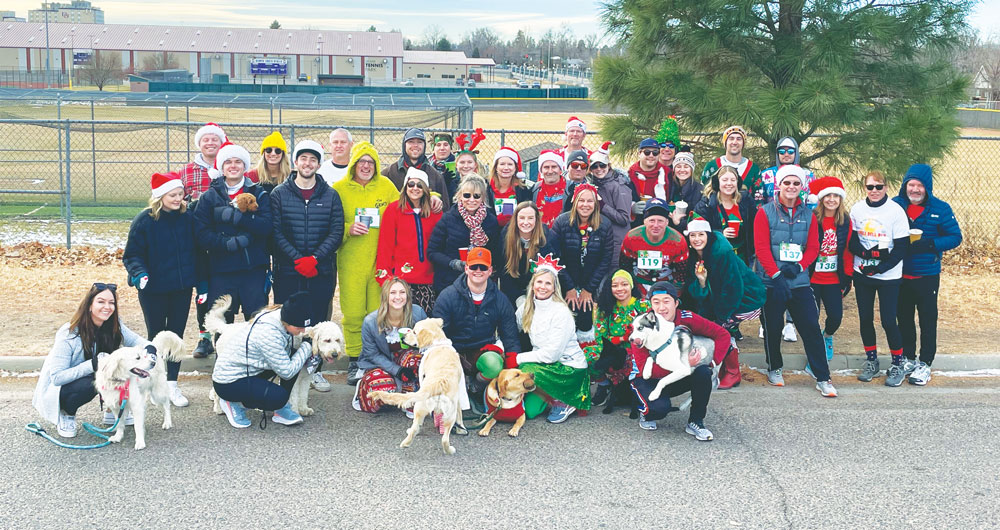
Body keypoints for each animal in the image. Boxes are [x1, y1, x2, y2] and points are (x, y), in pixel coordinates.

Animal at [203, 294, 344, 414]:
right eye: (327, 340)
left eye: (337, 340)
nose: (335, 354)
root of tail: (226, 327)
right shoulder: (293, 377)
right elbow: (293, 395)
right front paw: (294, 411)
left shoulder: (305, 378)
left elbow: (303, 395)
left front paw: (304, 409)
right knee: (218, 389)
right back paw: (219, 408)